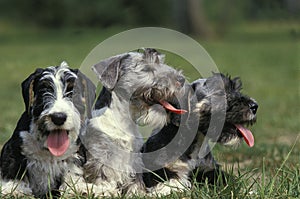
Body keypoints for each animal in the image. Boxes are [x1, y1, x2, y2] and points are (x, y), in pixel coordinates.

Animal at [0, 61, 95, 197]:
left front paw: (76, 188)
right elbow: (13, 167)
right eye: (44, 90)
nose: (58, 117)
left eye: (73, 91)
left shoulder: (76, 152)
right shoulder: (15, 147)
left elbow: (73, 169)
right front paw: (14, 188)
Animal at [81, 48, 186, 196]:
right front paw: (106, 191)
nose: (182, 80)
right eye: (146, 68)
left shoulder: (135, 162)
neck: (123, 121)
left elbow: (135, 183)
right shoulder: (100, 156)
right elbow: (103, 177)